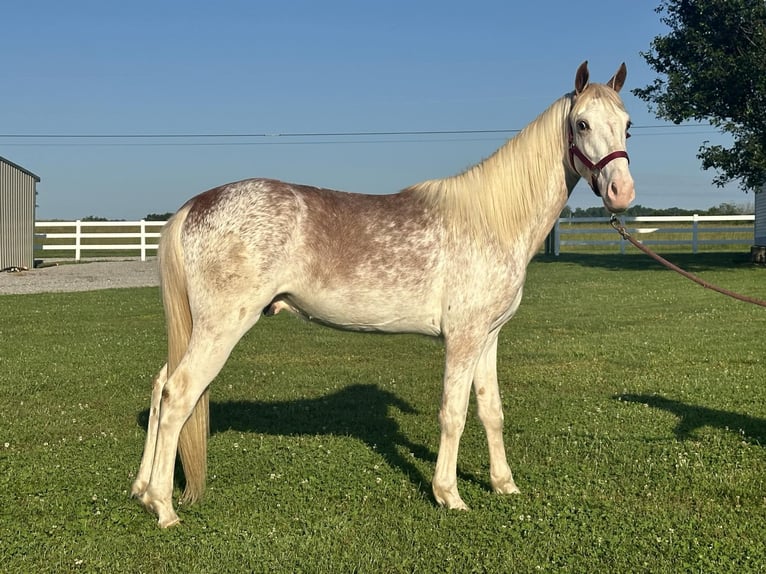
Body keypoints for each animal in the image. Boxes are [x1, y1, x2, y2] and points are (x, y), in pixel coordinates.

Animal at [132, 62, 636, 528]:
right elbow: (453, 413)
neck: (490, 221)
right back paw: (164, 507)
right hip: (221, 327)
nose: (621, 191)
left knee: (159, 387)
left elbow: (491, 411)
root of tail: (194, 206)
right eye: (581, 124)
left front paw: (503, 484)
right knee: (178, 395)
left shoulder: (487, 337)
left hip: (198, 329)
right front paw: (449, 495)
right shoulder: (463, 339)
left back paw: (140, 490)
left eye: (627, 124)